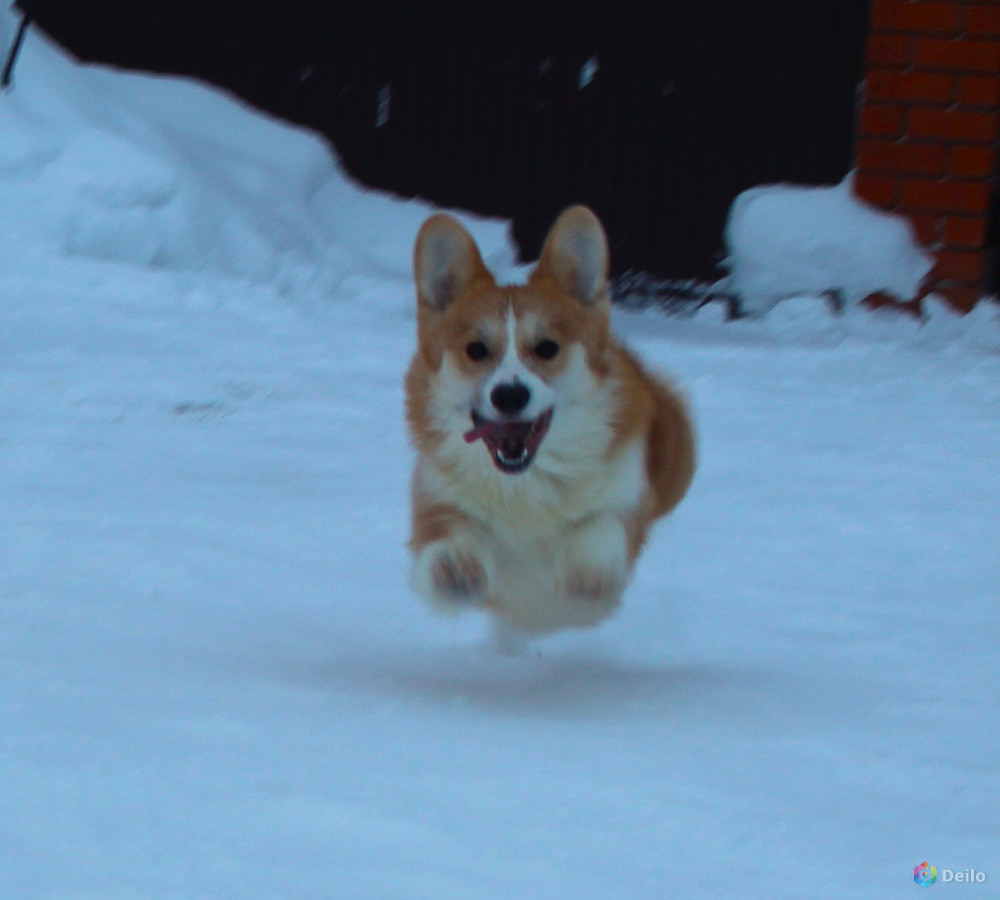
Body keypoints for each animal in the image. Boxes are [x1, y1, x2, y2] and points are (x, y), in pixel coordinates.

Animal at [402, 207, 692, 636]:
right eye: (476, 349)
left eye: (547, 348)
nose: (509, 394)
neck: (525, 486)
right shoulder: (437, 496)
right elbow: (446, 532)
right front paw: (454, 567)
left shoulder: (627, 496)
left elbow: (603, 527)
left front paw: (589, 573)